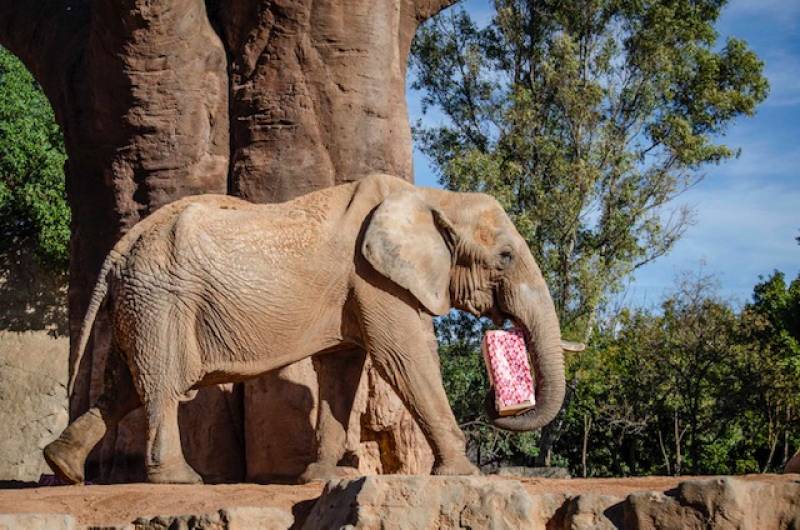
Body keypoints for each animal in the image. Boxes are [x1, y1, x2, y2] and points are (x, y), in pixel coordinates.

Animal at [43, 172, 572, 482]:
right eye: (505, 257)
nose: (498, 405)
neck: (432, 197)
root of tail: (120, 248)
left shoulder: (356, 288)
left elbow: (342, 369)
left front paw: (320, 478)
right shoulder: (374, 278)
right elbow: (404, 358)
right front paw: (463, 474)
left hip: (139, 301)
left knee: (125, 385)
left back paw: (63, 466)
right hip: (161, 301)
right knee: (161, 385)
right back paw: (179, 479)